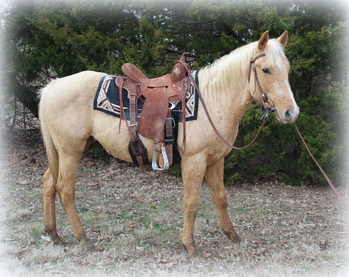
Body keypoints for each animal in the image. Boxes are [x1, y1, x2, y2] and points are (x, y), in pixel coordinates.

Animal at [39, 30, 298, 254]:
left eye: (287, 69)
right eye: (266, 69)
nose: (291, 113)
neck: (212, 100)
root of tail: (52, 85)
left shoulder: (216, 160)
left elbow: (220, 198)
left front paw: (232, 235)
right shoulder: (194, 161)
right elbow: (192, 203)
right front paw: (189, 245)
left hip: (66, 150)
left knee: (49, 182)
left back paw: (53, 234)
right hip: (70, 150)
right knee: (65, 188)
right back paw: (83, 238)